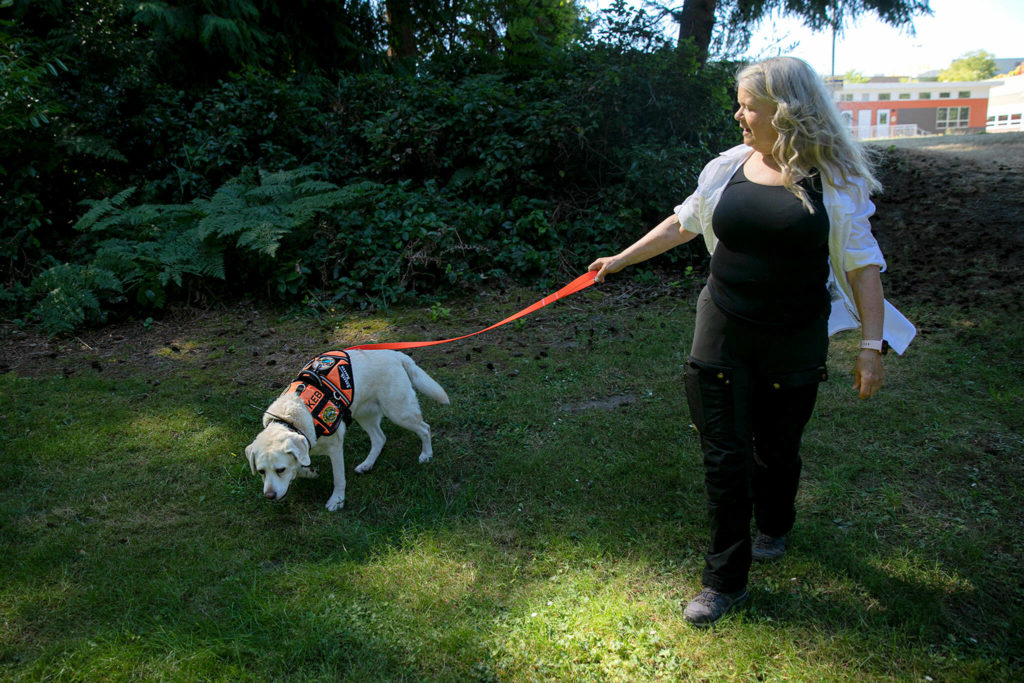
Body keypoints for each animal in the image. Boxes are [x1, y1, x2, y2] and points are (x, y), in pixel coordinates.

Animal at [245, 350, 450, 509]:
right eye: (261, 471)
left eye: (280, 469)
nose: (269, 496)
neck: (290, 419)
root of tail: (395, 353)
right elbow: (302, 464)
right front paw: (309, 472)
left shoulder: (335, 449)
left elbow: (339, 479)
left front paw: (337, 501)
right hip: (364, 414)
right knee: (379, 438)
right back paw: (367, 464)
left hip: (399, 411)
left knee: (424, 428)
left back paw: (426, 454)